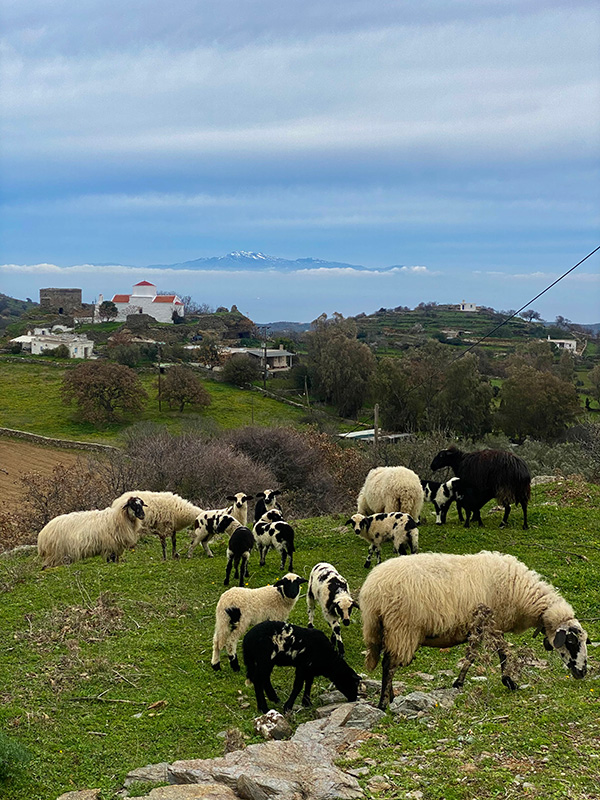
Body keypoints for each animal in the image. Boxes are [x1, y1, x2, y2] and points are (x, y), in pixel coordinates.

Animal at [358, 552, 588, 708]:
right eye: (571, 642)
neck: (521, 593)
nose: (583, 672)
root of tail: (372, 590)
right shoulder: (493, 625)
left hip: (386, 629)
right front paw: (510, 682)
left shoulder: (479, 628)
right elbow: (504, 652)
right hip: (402, 628)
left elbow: (472, 656)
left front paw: (459, 682)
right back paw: (384, 703)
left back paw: (390, 697)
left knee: (389, 662)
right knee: (389, 664)